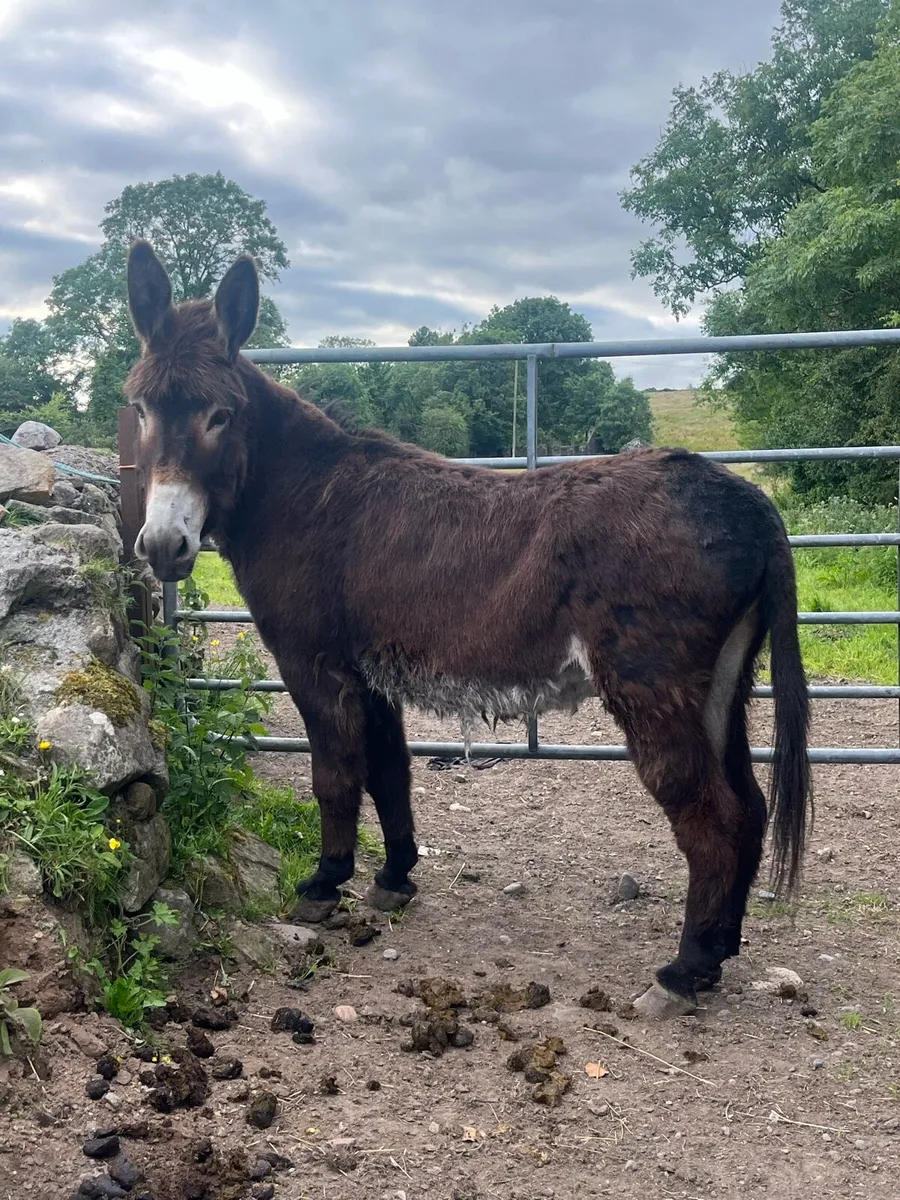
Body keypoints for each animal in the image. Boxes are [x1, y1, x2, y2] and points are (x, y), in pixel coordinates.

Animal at [124, 239, 811, 1016]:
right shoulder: (371, 669)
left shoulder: (313, 661)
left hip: (652, 686)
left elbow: (334, 774)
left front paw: (324, 884)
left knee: (712, 820)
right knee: (749, 808)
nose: (163, 548)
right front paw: (394, 878)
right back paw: (719, 951)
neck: (301, 493)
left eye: (219, 416)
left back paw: (685, 969)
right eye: (140, 407)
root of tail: (749, 500)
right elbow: (388, 771)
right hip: (722, 686)